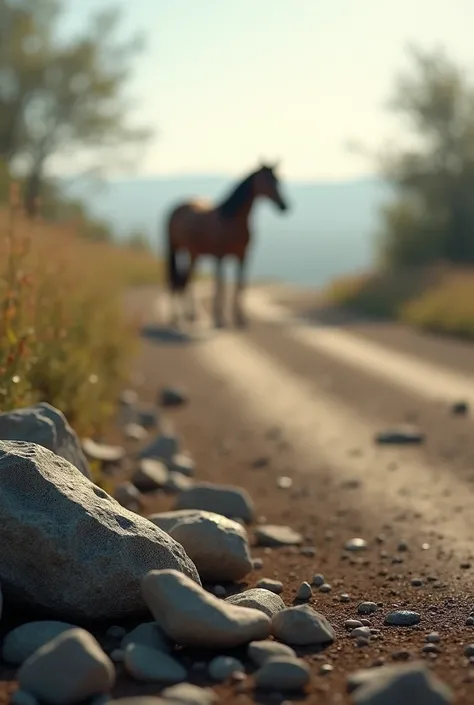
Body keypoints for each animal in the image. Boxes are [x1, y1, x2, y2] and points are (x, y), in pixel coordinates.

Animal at [163, 162, 288, 328]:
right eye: (268, 180)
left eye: (277, 180)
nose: (284, 206)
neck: (233, 220)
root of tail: (176, 208)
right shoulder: (220, 256)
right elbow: (220, 285)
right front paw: (219, 319)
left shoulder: (243, 256)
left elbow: (240, 285)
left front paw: (240, 318)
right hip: (175, 248)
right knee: (175, 280)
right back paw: (176, 318)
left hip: (193, 253)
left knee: (186, 279)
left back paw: (191, 315)